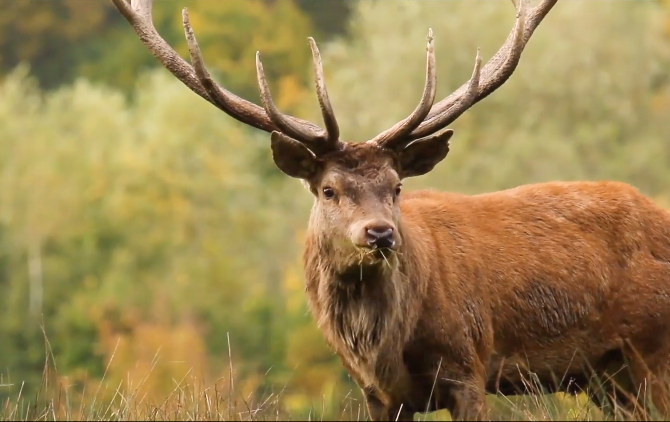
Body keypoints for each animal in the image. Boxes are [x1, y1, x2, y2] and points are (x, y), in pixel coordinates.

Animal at [111, 0, 670, 420]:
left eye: (397, 186)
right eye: (328, 189)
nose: (379, 234)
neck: (383, 348)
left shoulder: (469, 365)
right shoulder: (379, 397)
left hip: (652, 353)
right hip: (607, 378)